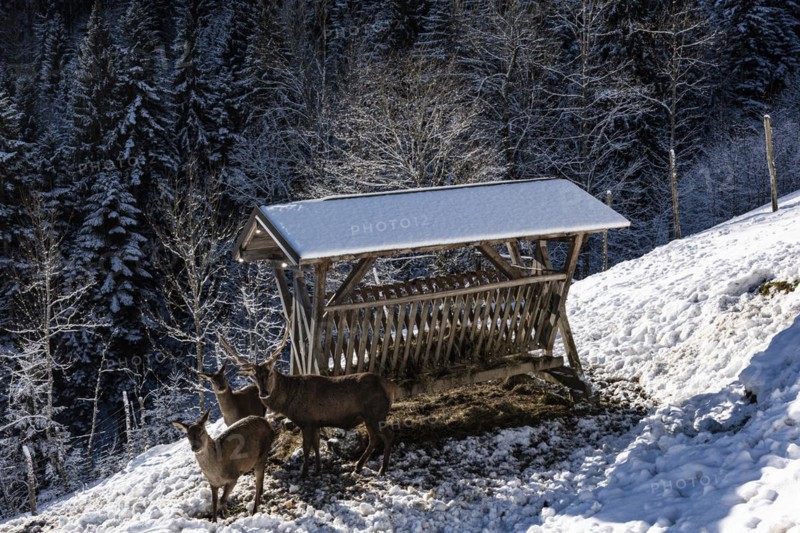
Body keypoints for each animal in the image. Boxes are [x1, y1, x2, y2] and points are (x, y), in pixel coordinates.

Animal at [218, 334, 398, 477]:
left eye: (269, 373)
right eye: (254, 377)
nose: (263, 393)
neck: (288, 402)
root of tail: (390, 387)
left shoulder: (306, 421)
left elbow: (306, 448)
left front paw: (303, 473)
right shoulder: (316, 422)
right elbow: (316, 445)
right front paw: (318, 469)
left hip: (375, 413)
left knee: (387, 435)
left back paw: (382, 469)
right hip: (370, 416)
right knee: (375, 438)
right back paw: (359, 466)